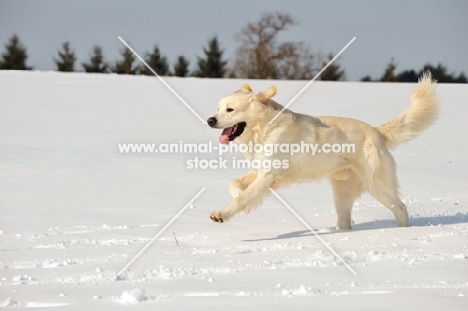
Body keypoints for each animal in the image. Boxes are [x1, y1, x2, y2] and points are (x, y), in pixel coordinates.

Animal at [207, 72, 436, 229]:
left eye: (230, 110)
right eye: (217, 109)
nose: (210, 120)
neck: (264, 128)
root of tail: (377, 132)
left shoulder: (269, 175)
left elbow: (242, 199)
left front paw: (223, 213)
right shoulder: (260, 169)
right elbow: (234, 184)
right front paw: (237, 192)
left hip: (378, 187)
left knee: (401, 208)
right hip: (342, 194)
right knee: (346, 222)